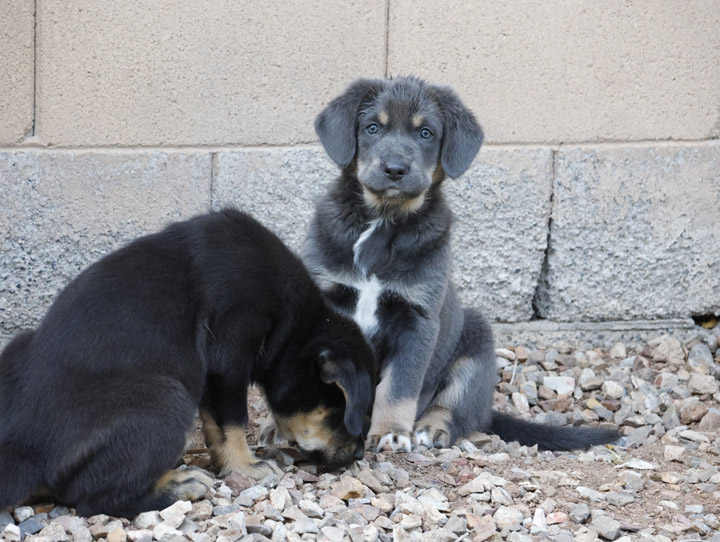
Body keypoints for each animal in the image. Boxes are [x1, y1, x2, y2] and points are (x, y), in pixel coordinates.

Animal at [1, 208, 376, 520]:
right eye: (341, 410)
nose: (360, 455)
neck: (294, 325)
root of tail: (24, 451)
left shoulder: (212, 374)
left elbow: (215, 424)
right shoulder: (230, 353)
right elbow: (233, 422)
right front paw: (248, 467)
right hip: (168, 397)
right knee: (92, 502)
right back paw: (178, 485)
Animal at [304, 76, 620, 454]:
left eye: (426, 133)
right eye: (372, 128)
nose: (395, 169)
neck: (383, 221)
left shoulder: (418, 320)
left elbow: (399, 387)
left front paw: (392, 432)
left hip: (476, 341)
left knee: (458, 410)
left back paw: (430, 428)